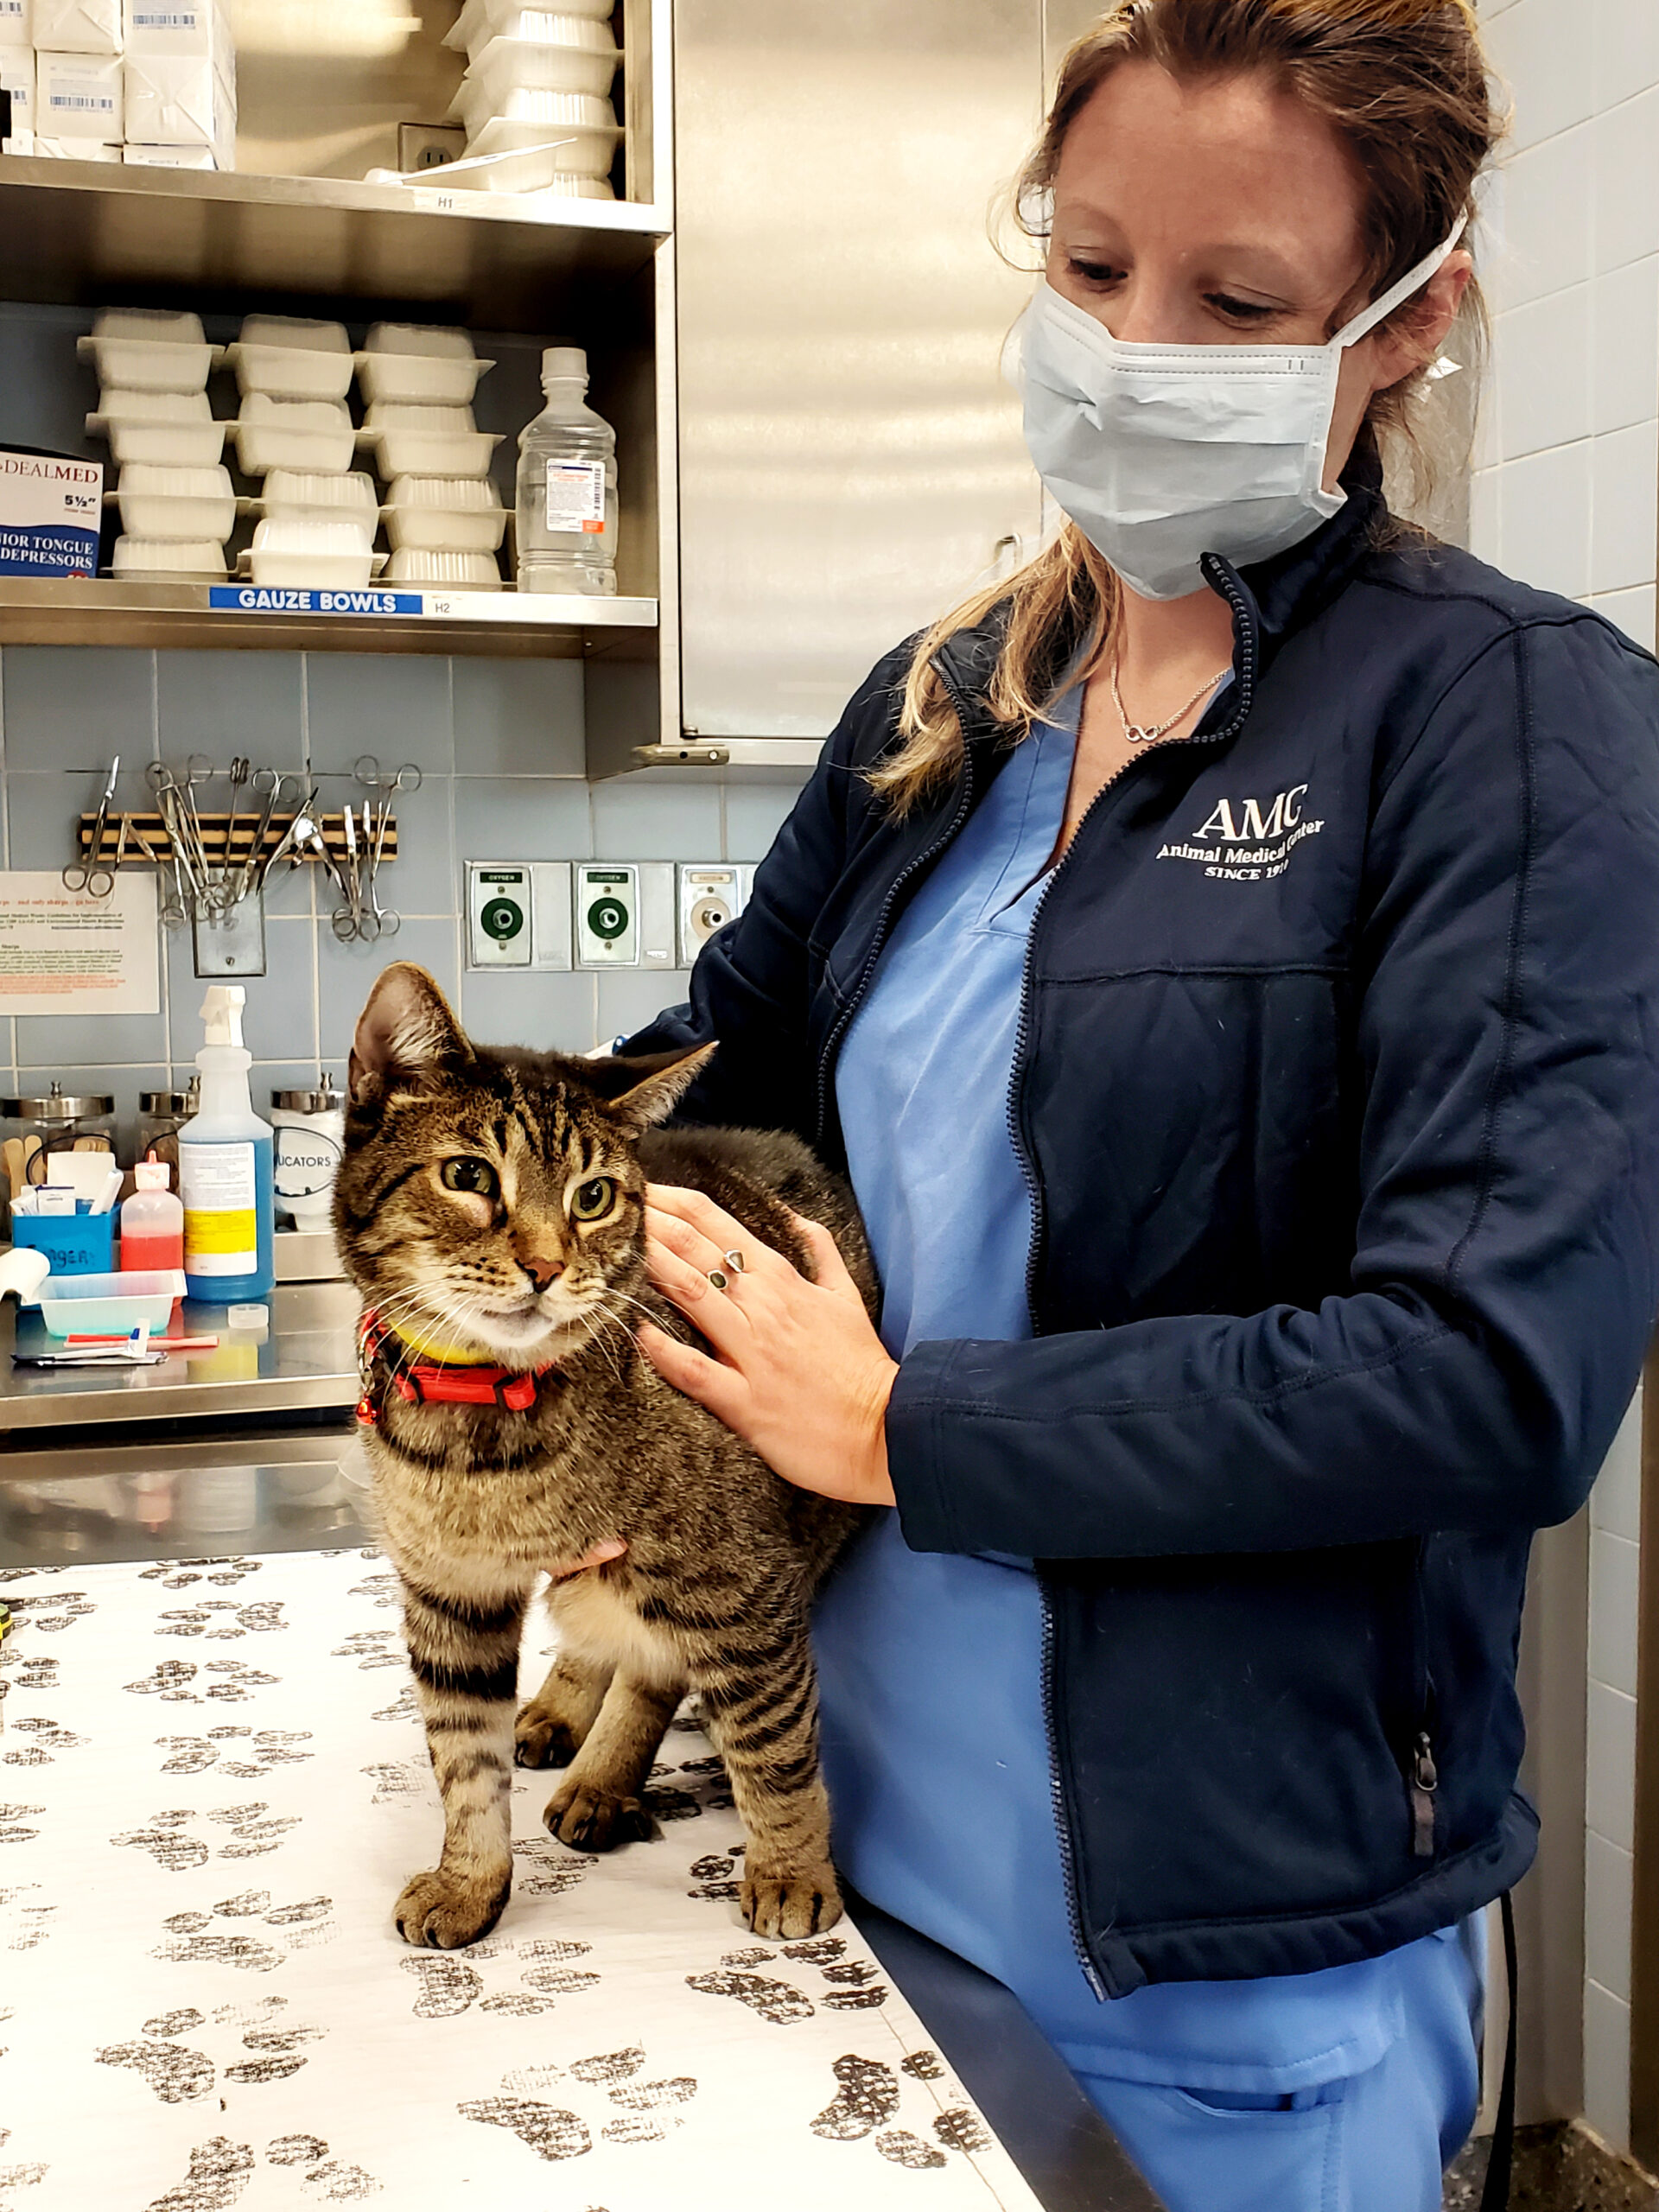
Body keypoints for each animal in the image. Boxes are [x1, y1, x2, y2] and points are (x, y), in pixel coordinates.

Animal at [338, 969, 885, 1955]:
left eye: (593, 1197)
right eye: (468, 1176)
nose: (547, 1267)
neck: (482, 1426)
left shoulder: (746, 1579)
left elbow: (775, 1747)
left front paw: (792, 1871)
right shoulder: (450, 1595)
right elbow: (462, 1760)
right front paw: (469, 1883)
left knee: (662, 1662)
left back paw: (602, 1774)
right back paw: (561, 1713)